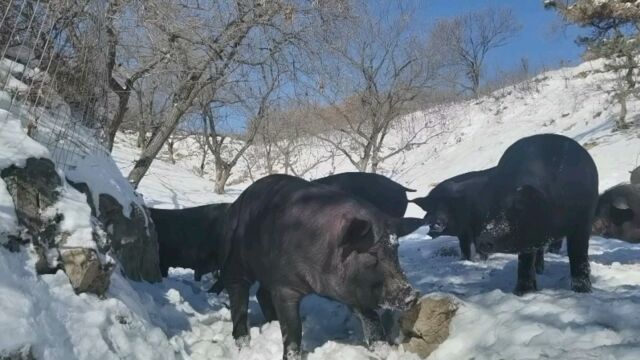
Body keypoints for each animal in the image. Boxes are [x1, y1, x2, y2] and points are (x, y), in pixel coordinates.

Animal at [220, 174, 424, 358]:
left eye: (396, 248)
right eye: (372, 253)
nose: (412, 294)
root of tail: (237, 202)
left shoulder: (351, 291)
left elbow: (371, 318)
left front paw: (384, 352)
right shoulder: (284, 287)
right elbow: (293, 331)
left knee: (261, 293)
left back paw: (272, 324)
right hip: (236, 261)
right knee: (237, 293)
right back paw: (243, 346)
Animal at [472, 134, 596, 294]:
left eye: (518, 208)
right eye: (488, 208)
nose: (483, 239)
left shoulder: (582, 222)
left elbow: (578, 254)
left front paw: (583, 290)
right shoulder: (528, 239)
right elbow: (525, 260)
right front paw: (523, 292)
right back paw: (538, 271)